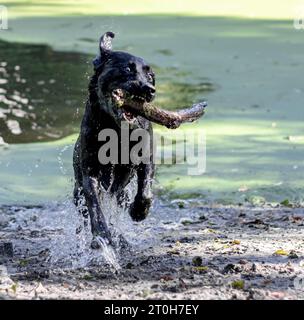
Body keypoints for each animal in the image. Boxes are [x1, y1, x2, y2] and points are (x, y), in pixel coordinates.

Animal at [72, 31, 156, 248]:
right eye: (127, 68)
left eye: (150, 76)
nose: (149, 89)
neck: (116, 131)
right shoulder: (90, 173)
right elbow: (95, 206)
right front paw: (101, 235)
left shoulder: (146, 159)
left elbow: (146, 191)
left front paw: (138, 211)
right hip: (77, 193)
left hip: (120, 193)